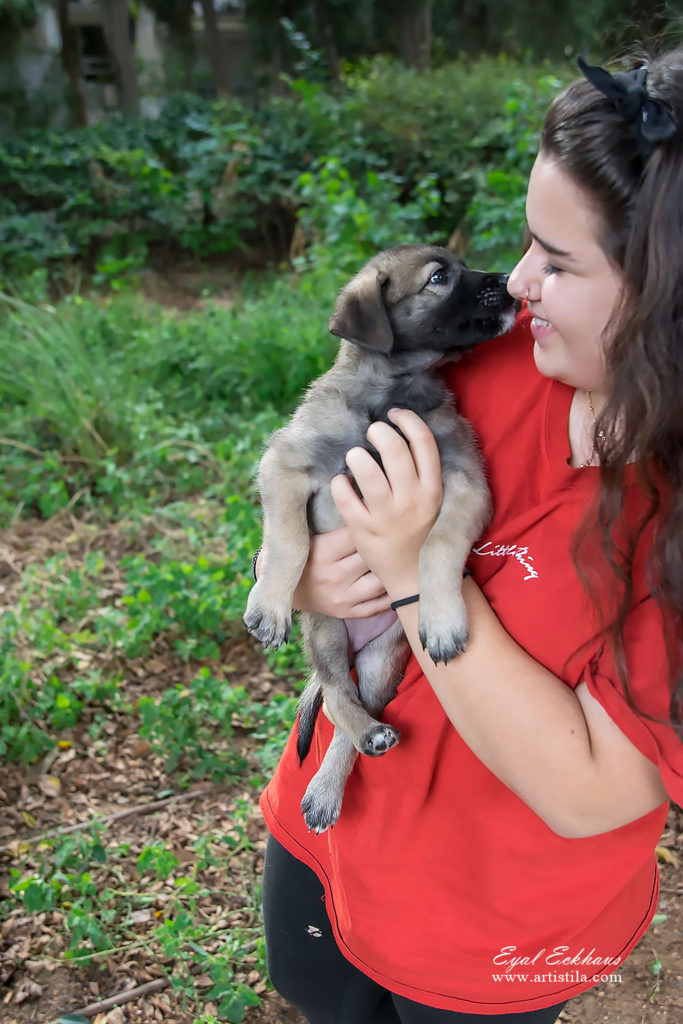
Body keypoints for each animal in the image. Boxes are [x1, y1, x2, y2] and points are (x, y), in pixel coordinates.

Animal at [242, 245, 516, 831]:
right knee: (335, 696)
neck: (392, 395)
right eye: (439, 277)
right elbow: (288, 541)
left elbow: (437, 546)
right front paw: (269, 604)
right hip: (325, 634)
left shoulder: (467, 482)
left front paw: (443, 618)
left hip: (383, 657)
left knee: (351, 712)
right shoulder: (285, 462)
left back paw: (342, 771)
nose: (509, 280)